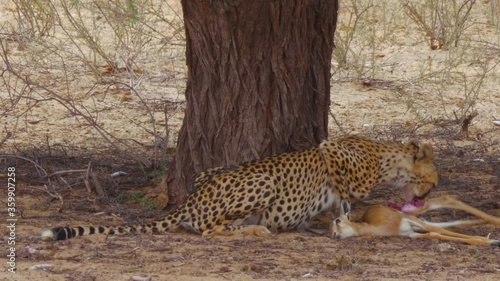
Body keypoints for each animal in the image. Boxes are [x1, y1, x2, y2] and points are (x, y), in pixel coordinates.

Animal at [42, 135, 438, 240]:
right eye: (432, 183)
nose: (425, 196)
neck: (389, 159)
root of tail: (192, 198)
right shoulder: (331, 151)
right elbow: (348, 189)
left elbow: (346, 206)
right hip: (262, 180)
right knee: (207, 230)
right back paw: (255, 230)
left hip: (210, 171)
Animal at [332, 195, 500, 245]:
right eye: (331, 231)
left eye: (337, 221)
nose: (335, 236)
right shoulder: (410, 234)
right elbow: (435, 234)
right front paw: (489, 241)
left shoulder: (409, 220)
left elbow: (437, 230)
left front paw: (490, 242)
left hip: (412, 213)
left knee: (446, 200)